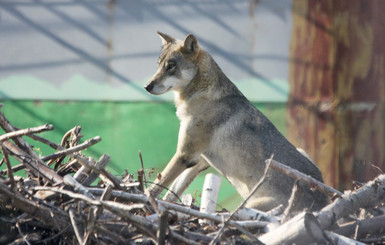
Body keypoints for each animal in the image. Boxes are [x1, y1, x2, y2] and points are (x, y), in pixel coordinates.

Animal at [144, 31, 328, 212]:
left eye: (170, 66)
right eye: (159, 65)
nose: (147, 86)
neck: (202, 94)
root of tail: (324, 204)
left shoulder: (185, 155)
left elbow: (156, 186)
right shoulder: (198, 161)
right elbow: (171, 192)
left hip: (247, 206)